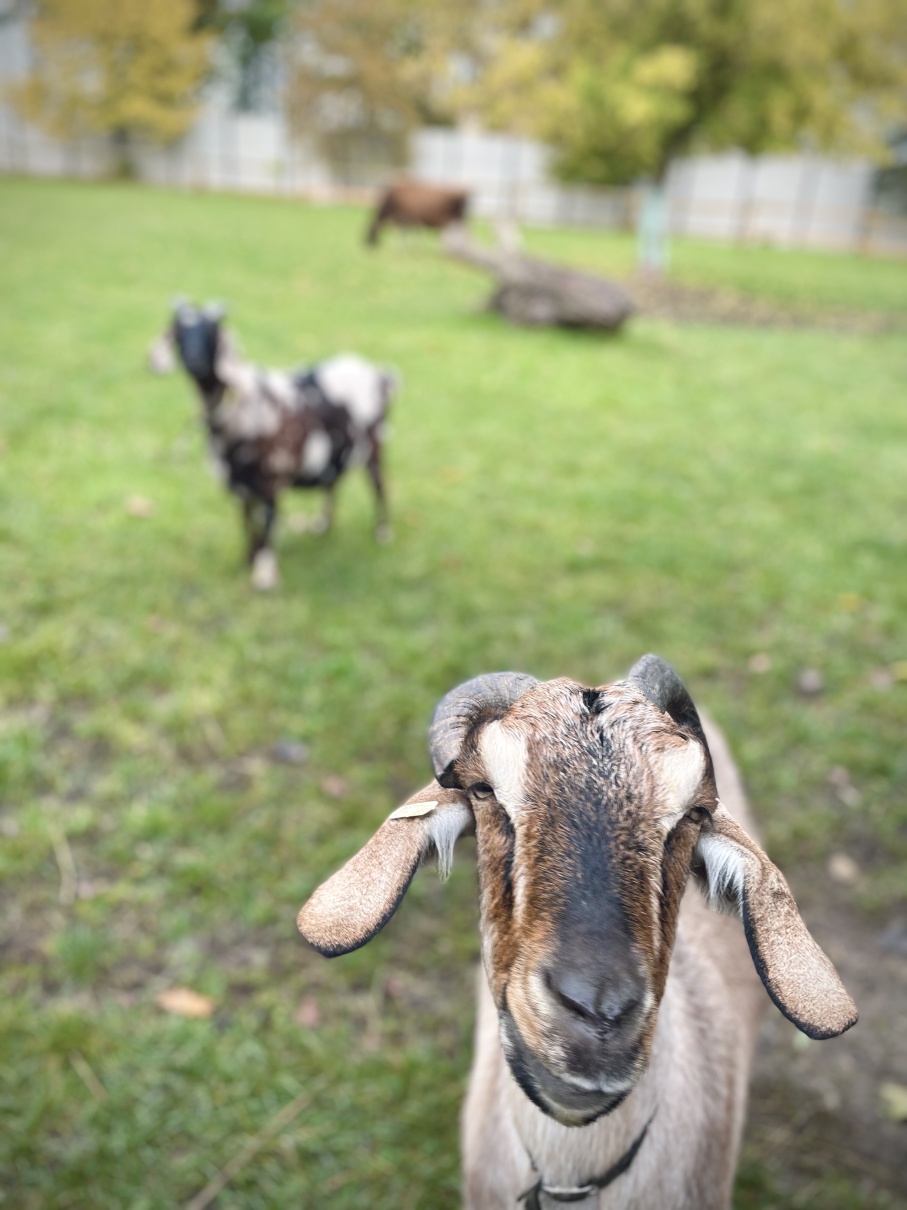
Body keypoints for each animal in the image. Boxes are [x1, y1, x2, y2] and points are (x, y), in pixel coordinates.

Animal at [150, 302, 397, 590]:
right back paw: (322, 526)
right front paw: (248, 561)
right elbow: (248, 522)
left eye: (212, 331)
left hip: (375, 443)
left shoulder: (272, 478)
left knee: (379, 486)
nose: (194, 361)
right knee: (332, 483)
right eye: (180, 333)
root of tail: (380, 375)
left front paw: (265, 576)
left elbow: (268, 523)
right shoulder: (240, 485)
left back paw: (382, 532)